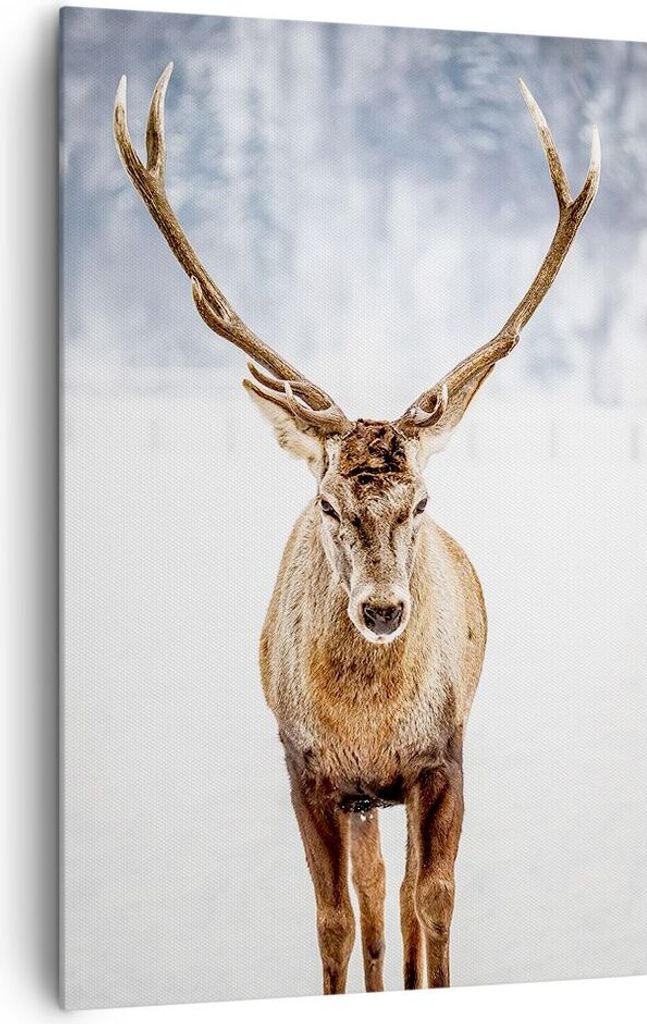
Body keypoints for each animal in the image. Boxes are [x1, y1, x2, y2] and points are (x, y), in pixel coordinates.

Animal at [113, 63, 600, 995]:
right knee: (375, 901)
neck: (368, 728)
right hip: (364, 800)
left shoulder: (442, 757)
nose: (381, 610)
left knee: (405, 900)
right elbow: (337, 921)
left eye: (422, 504)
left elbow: (434, 907)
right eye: (329, 505)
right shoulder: (306, 769)